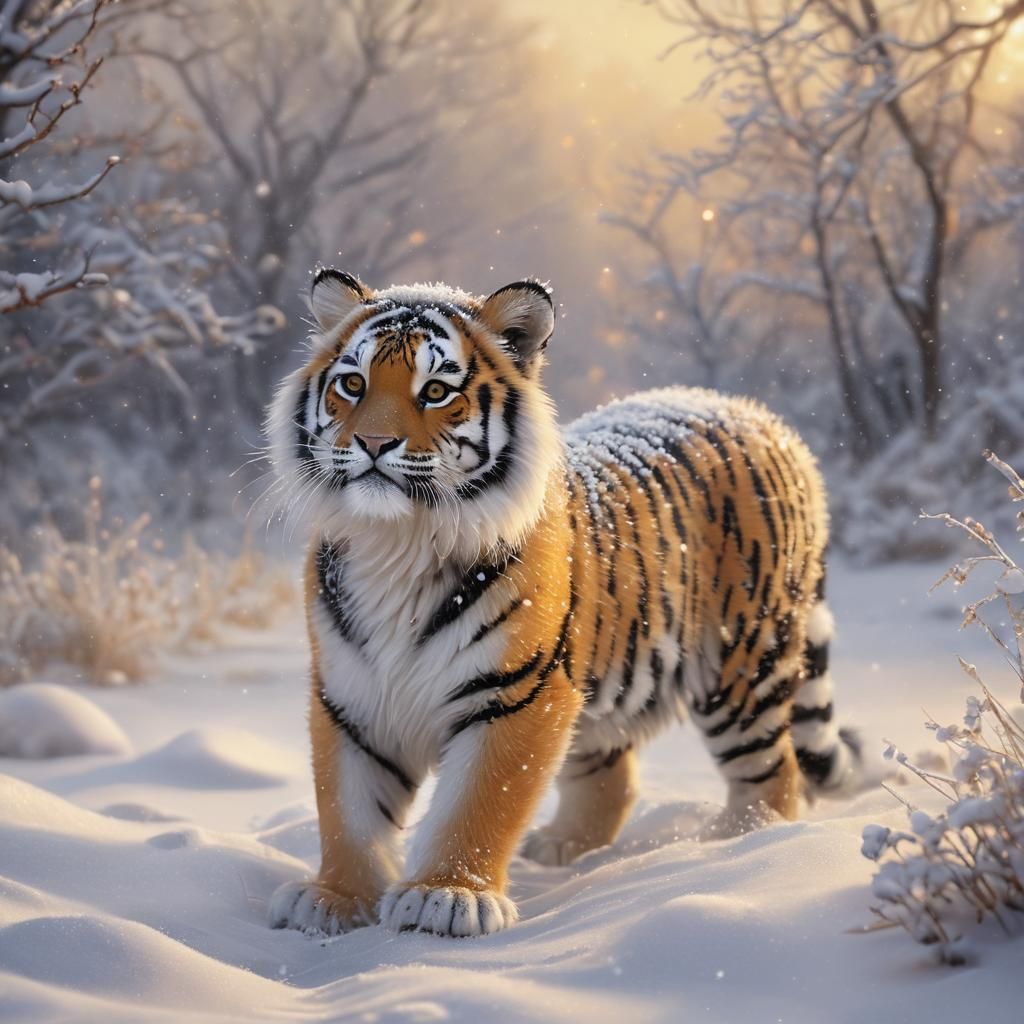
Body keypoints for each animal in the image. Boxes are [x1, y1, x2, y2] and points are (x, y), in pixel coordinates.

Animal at [265, 269, 862, 939]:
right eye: (352, 383)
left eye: (437, 390)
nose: (372, 442)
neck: (397, 541)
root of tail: (763, 419)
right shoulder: (351, 698)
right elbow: (348, 809)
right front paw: (334, 900)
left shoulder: (517, 690)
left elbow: (479, 802)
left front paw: (447, 897)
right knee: (612, 776)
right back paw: (563, 848)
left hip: (742, 669)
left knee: (775, 772)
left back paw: (741, 849)